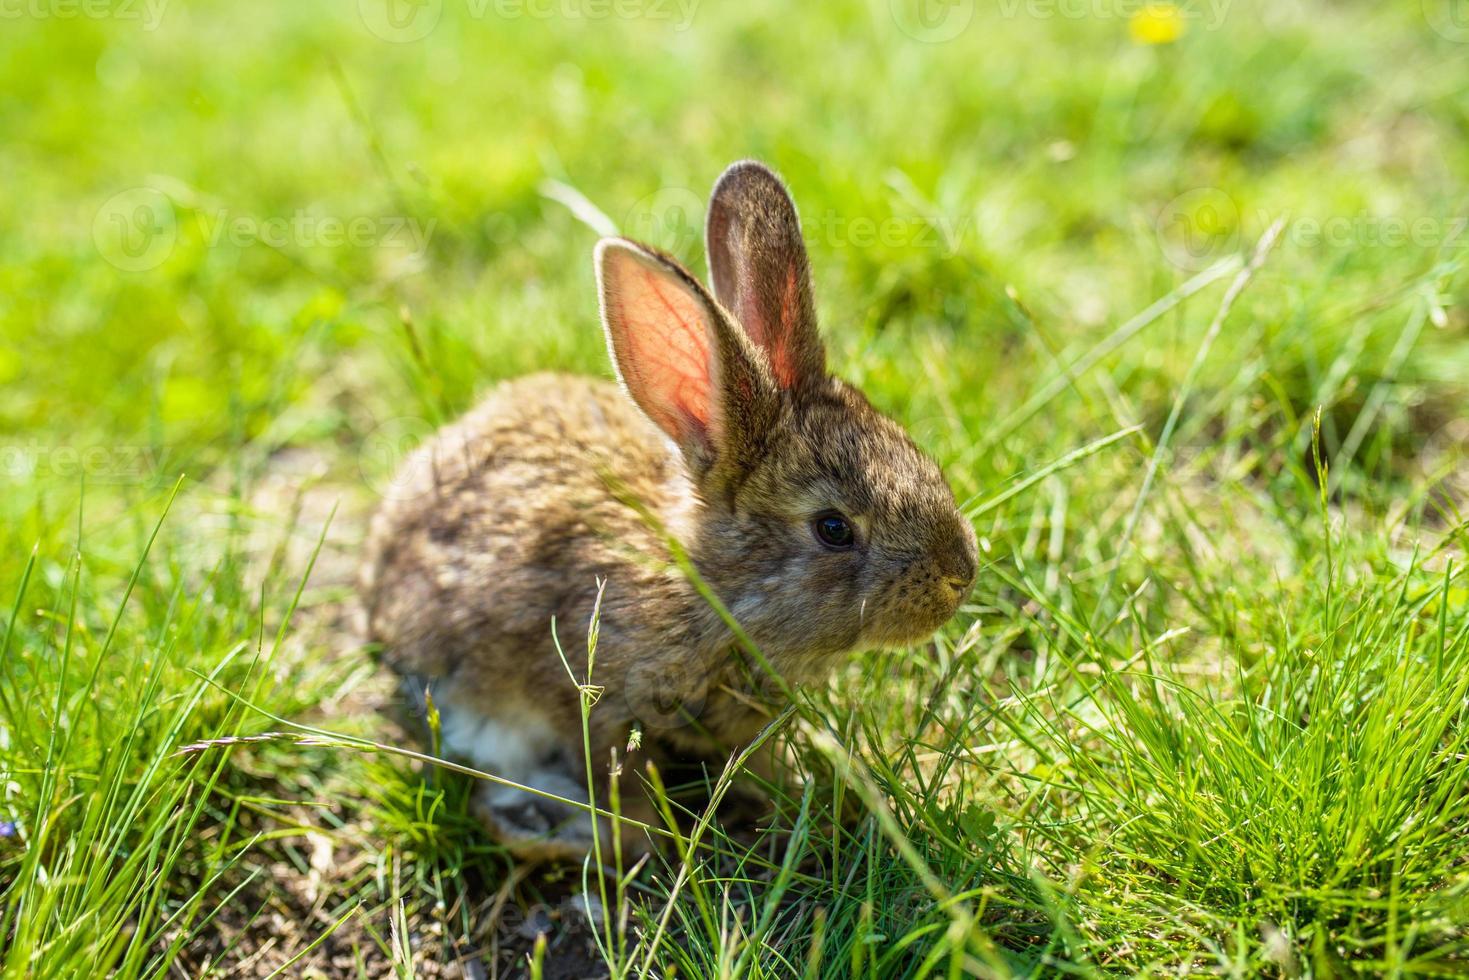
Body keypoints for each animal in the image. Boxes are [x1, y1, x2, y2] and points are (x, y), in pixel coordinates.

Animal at [358, 160, 975, 858]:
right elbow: (617, 779)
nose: (961, 575)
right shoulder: (594, 704)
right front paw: (646, 841)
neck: (705, 588)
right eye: (833, 529)